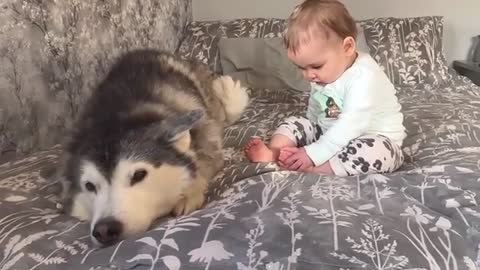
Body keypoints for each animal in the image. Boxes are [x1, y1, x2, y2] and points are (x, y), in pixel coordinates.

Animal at [58, 49, 249, 247]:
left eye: (138, 175)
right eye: (89, 186)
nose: (104, 229)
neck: (114, 120)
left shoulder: (206, 137)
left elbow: (205, 160)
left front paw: (189, 193)